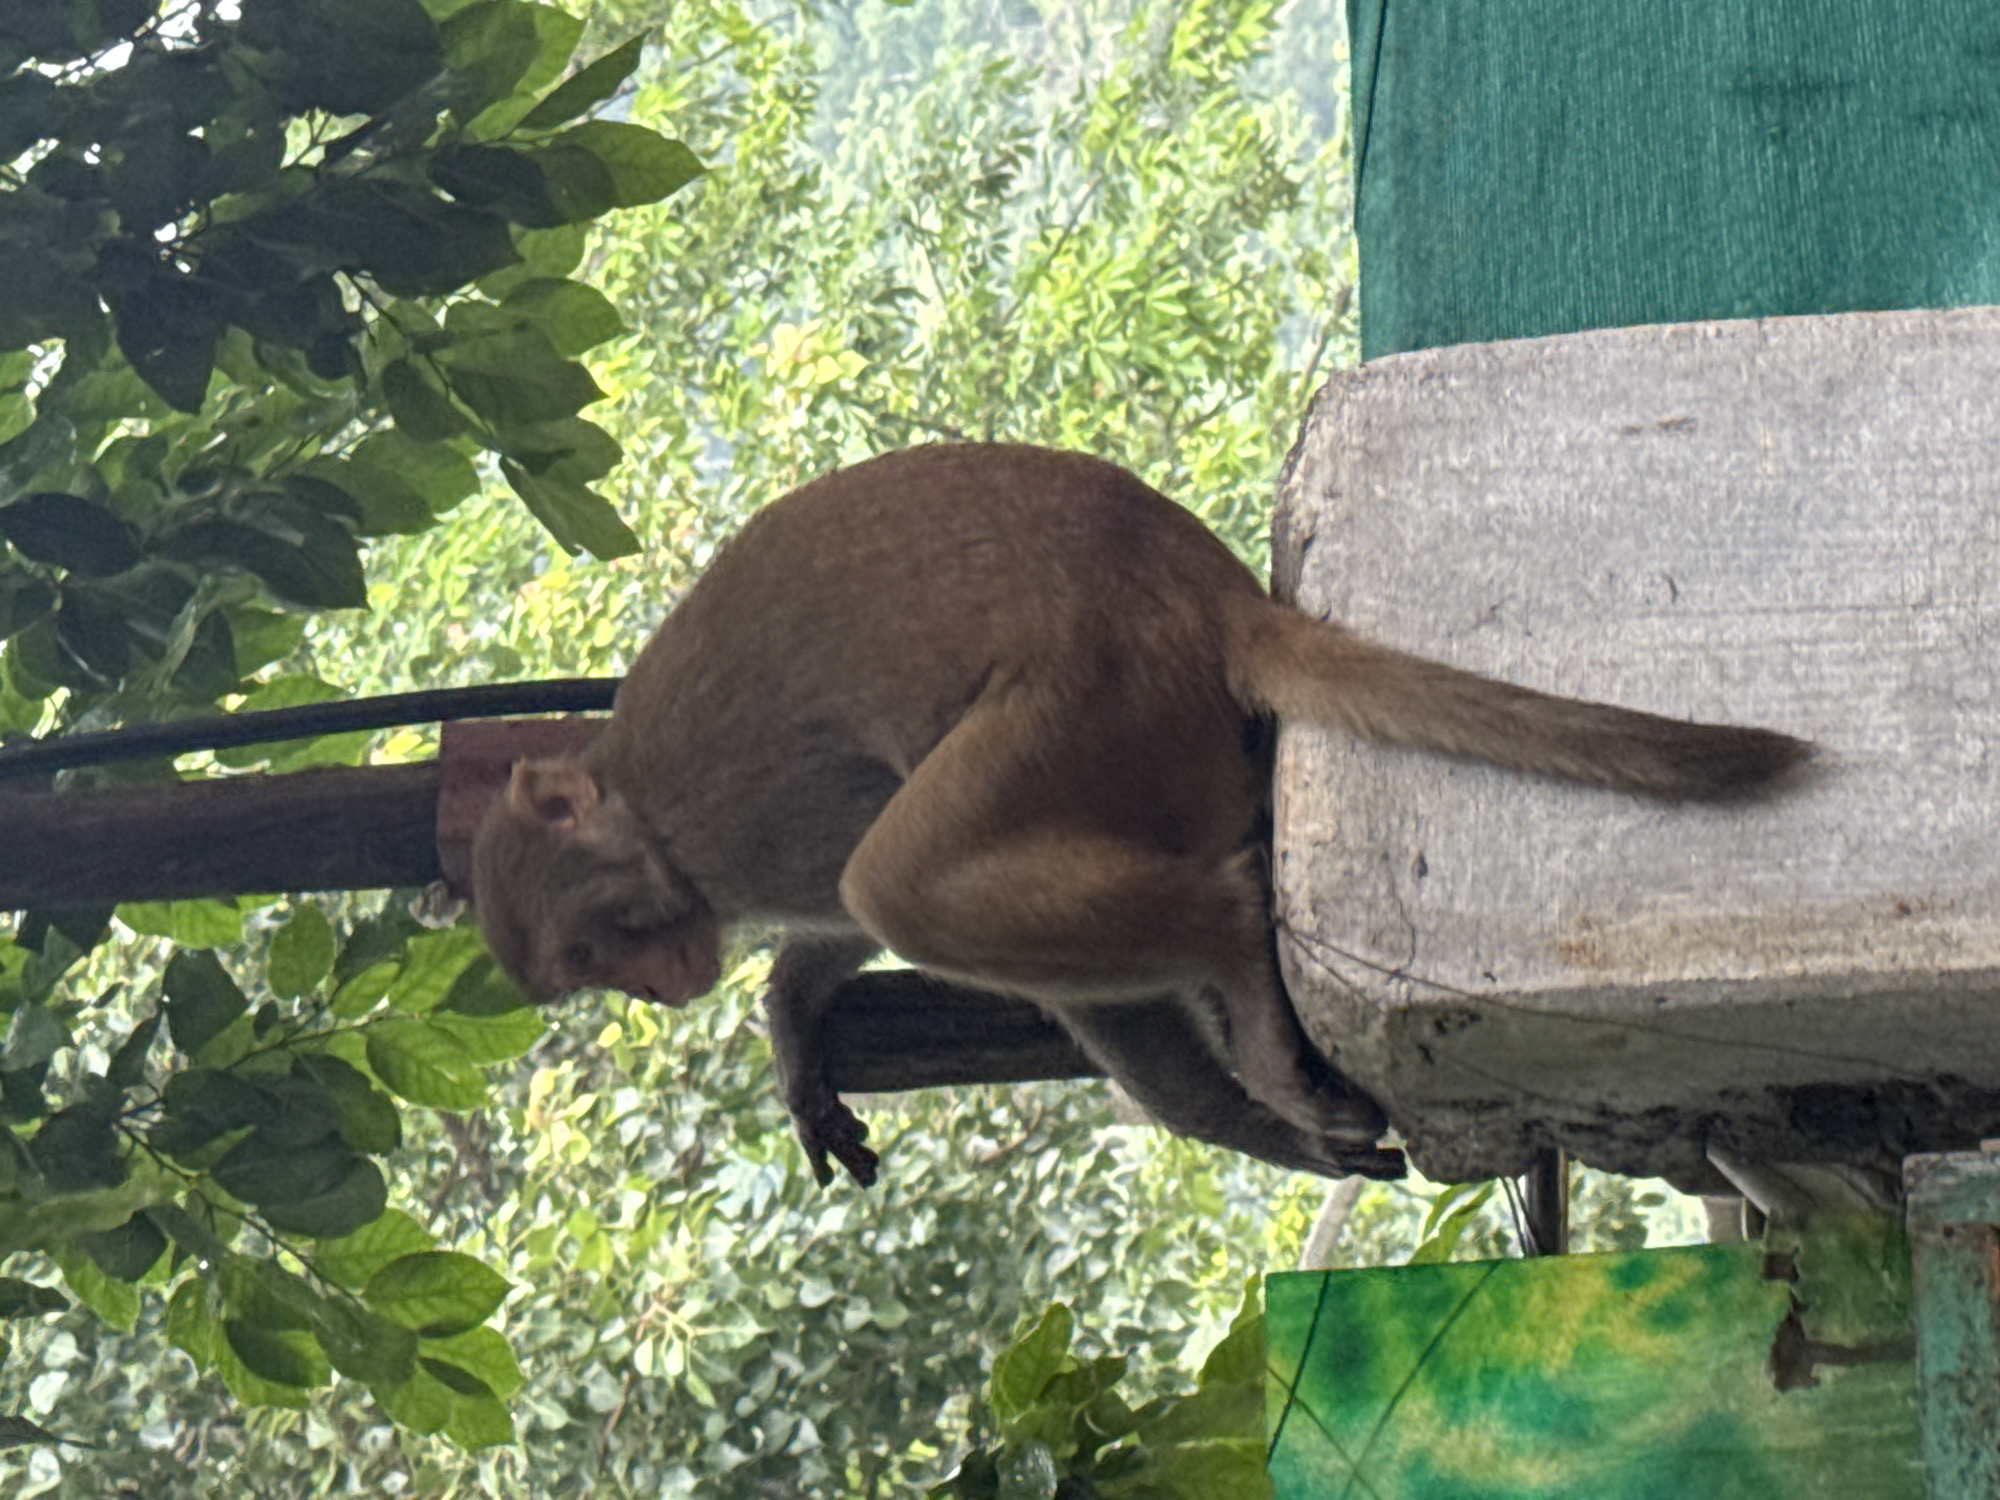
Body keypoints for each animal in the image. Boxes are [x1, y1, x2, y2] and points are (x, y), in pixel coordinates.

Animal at [470, 443, 1809, 1187]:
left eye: (597, 942)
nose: (658, 987)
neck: (636, 804)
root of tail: (1202, 590)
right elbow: (833, 931)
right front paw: (795, 1024)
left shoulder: (738, 819)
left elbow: (859, 891)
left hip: (1097, 697)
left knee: (905, 881)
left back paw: (1230, 940)